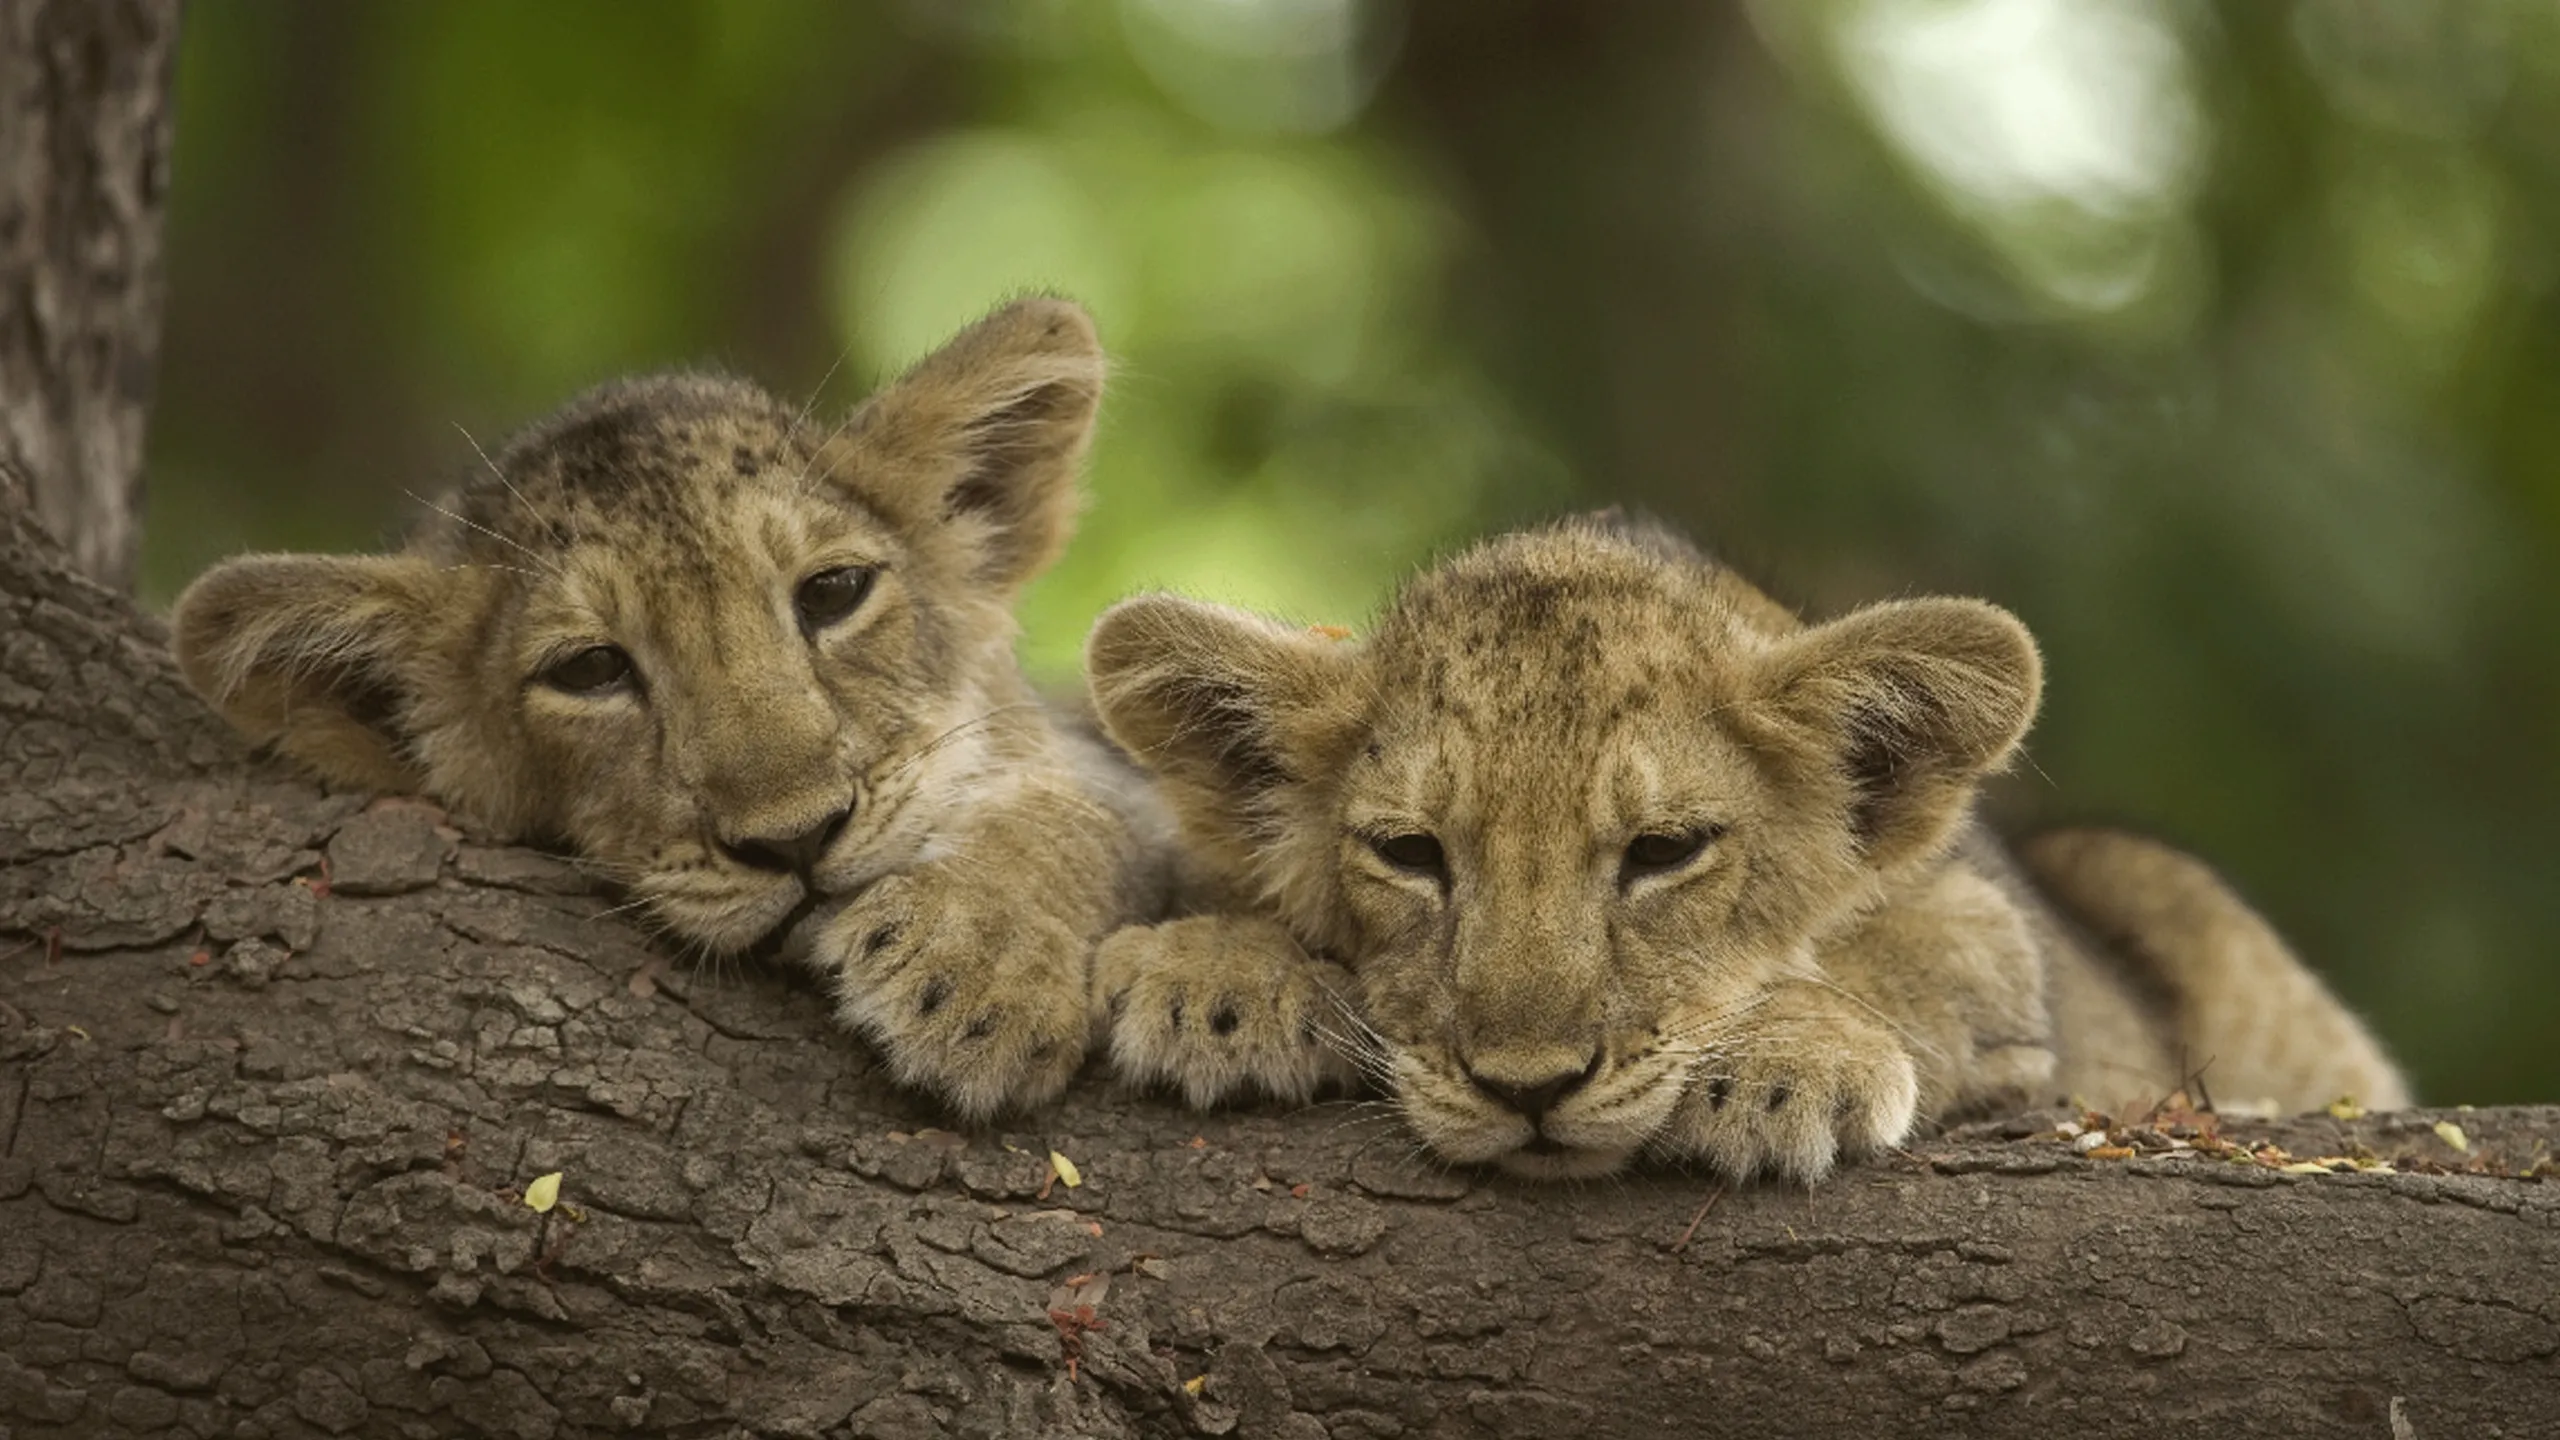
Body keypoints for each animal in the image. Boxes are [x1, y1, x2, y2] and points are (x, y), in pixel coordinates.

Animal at [1082, 515, 2409, 1181]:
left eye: (1664, 851)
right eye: (1411, 854)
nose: (1527, 1090)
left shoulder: (1991, 934)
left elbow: (1904, 961)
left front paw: (1779, 1066)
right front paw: (1222, 977)